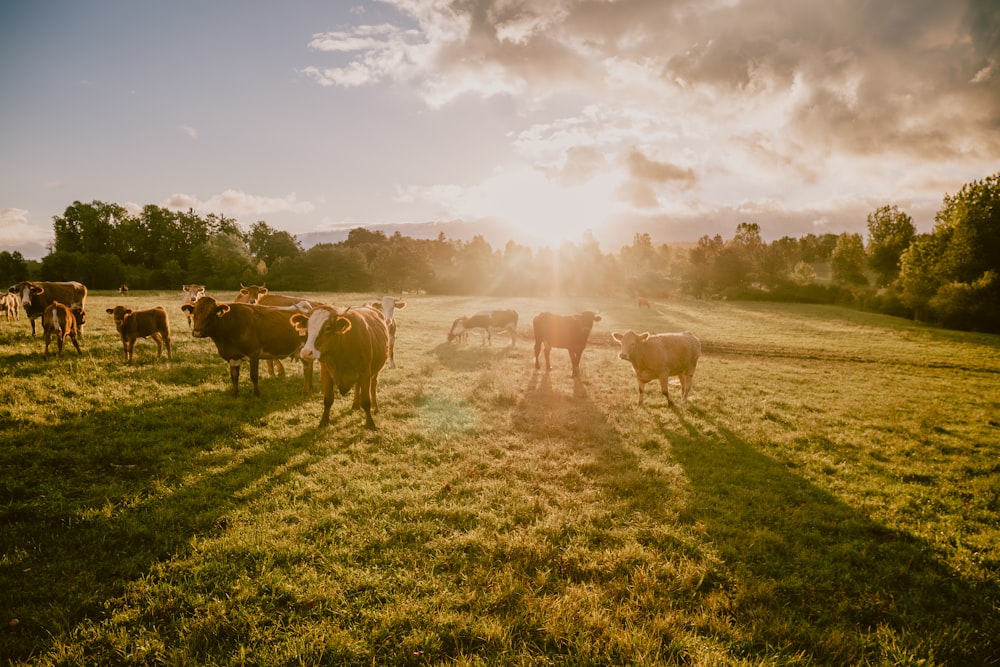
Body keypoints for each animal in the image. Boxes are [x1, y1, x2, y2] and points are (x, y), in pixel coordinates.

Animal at [182, 296, 310, 396]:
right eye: (194, 314)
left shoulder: (254, 354)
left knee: (307, 369)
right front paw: (234, 394)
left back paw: (305, 390)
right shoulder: (233, 356)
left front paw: (257, 394)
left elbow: (254, 375)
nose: (197, 332)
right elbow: (234, 376)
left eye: (210, 314)